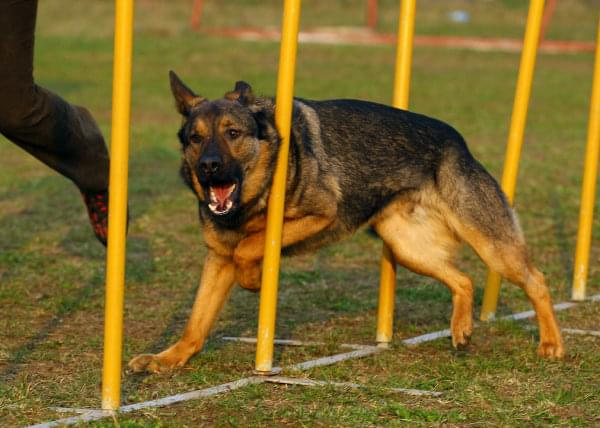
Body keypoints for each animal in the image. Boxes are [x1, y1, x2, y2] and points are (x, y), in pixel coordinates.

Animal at [129, 72, 564, 372]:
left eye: (233, 133)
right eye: (195, 138)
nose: (209, 167)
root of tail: (458, 141)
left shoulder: (322, 213)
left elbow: (250, 246)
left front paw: (253, 278)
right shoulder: (216, 260)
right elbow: (196, 321)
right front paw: (167, 358)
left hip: (491, 245)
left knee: (537, 281)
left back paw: (551, 344)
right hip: (407, 247)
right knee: (464, 280)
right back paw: (461, 328)